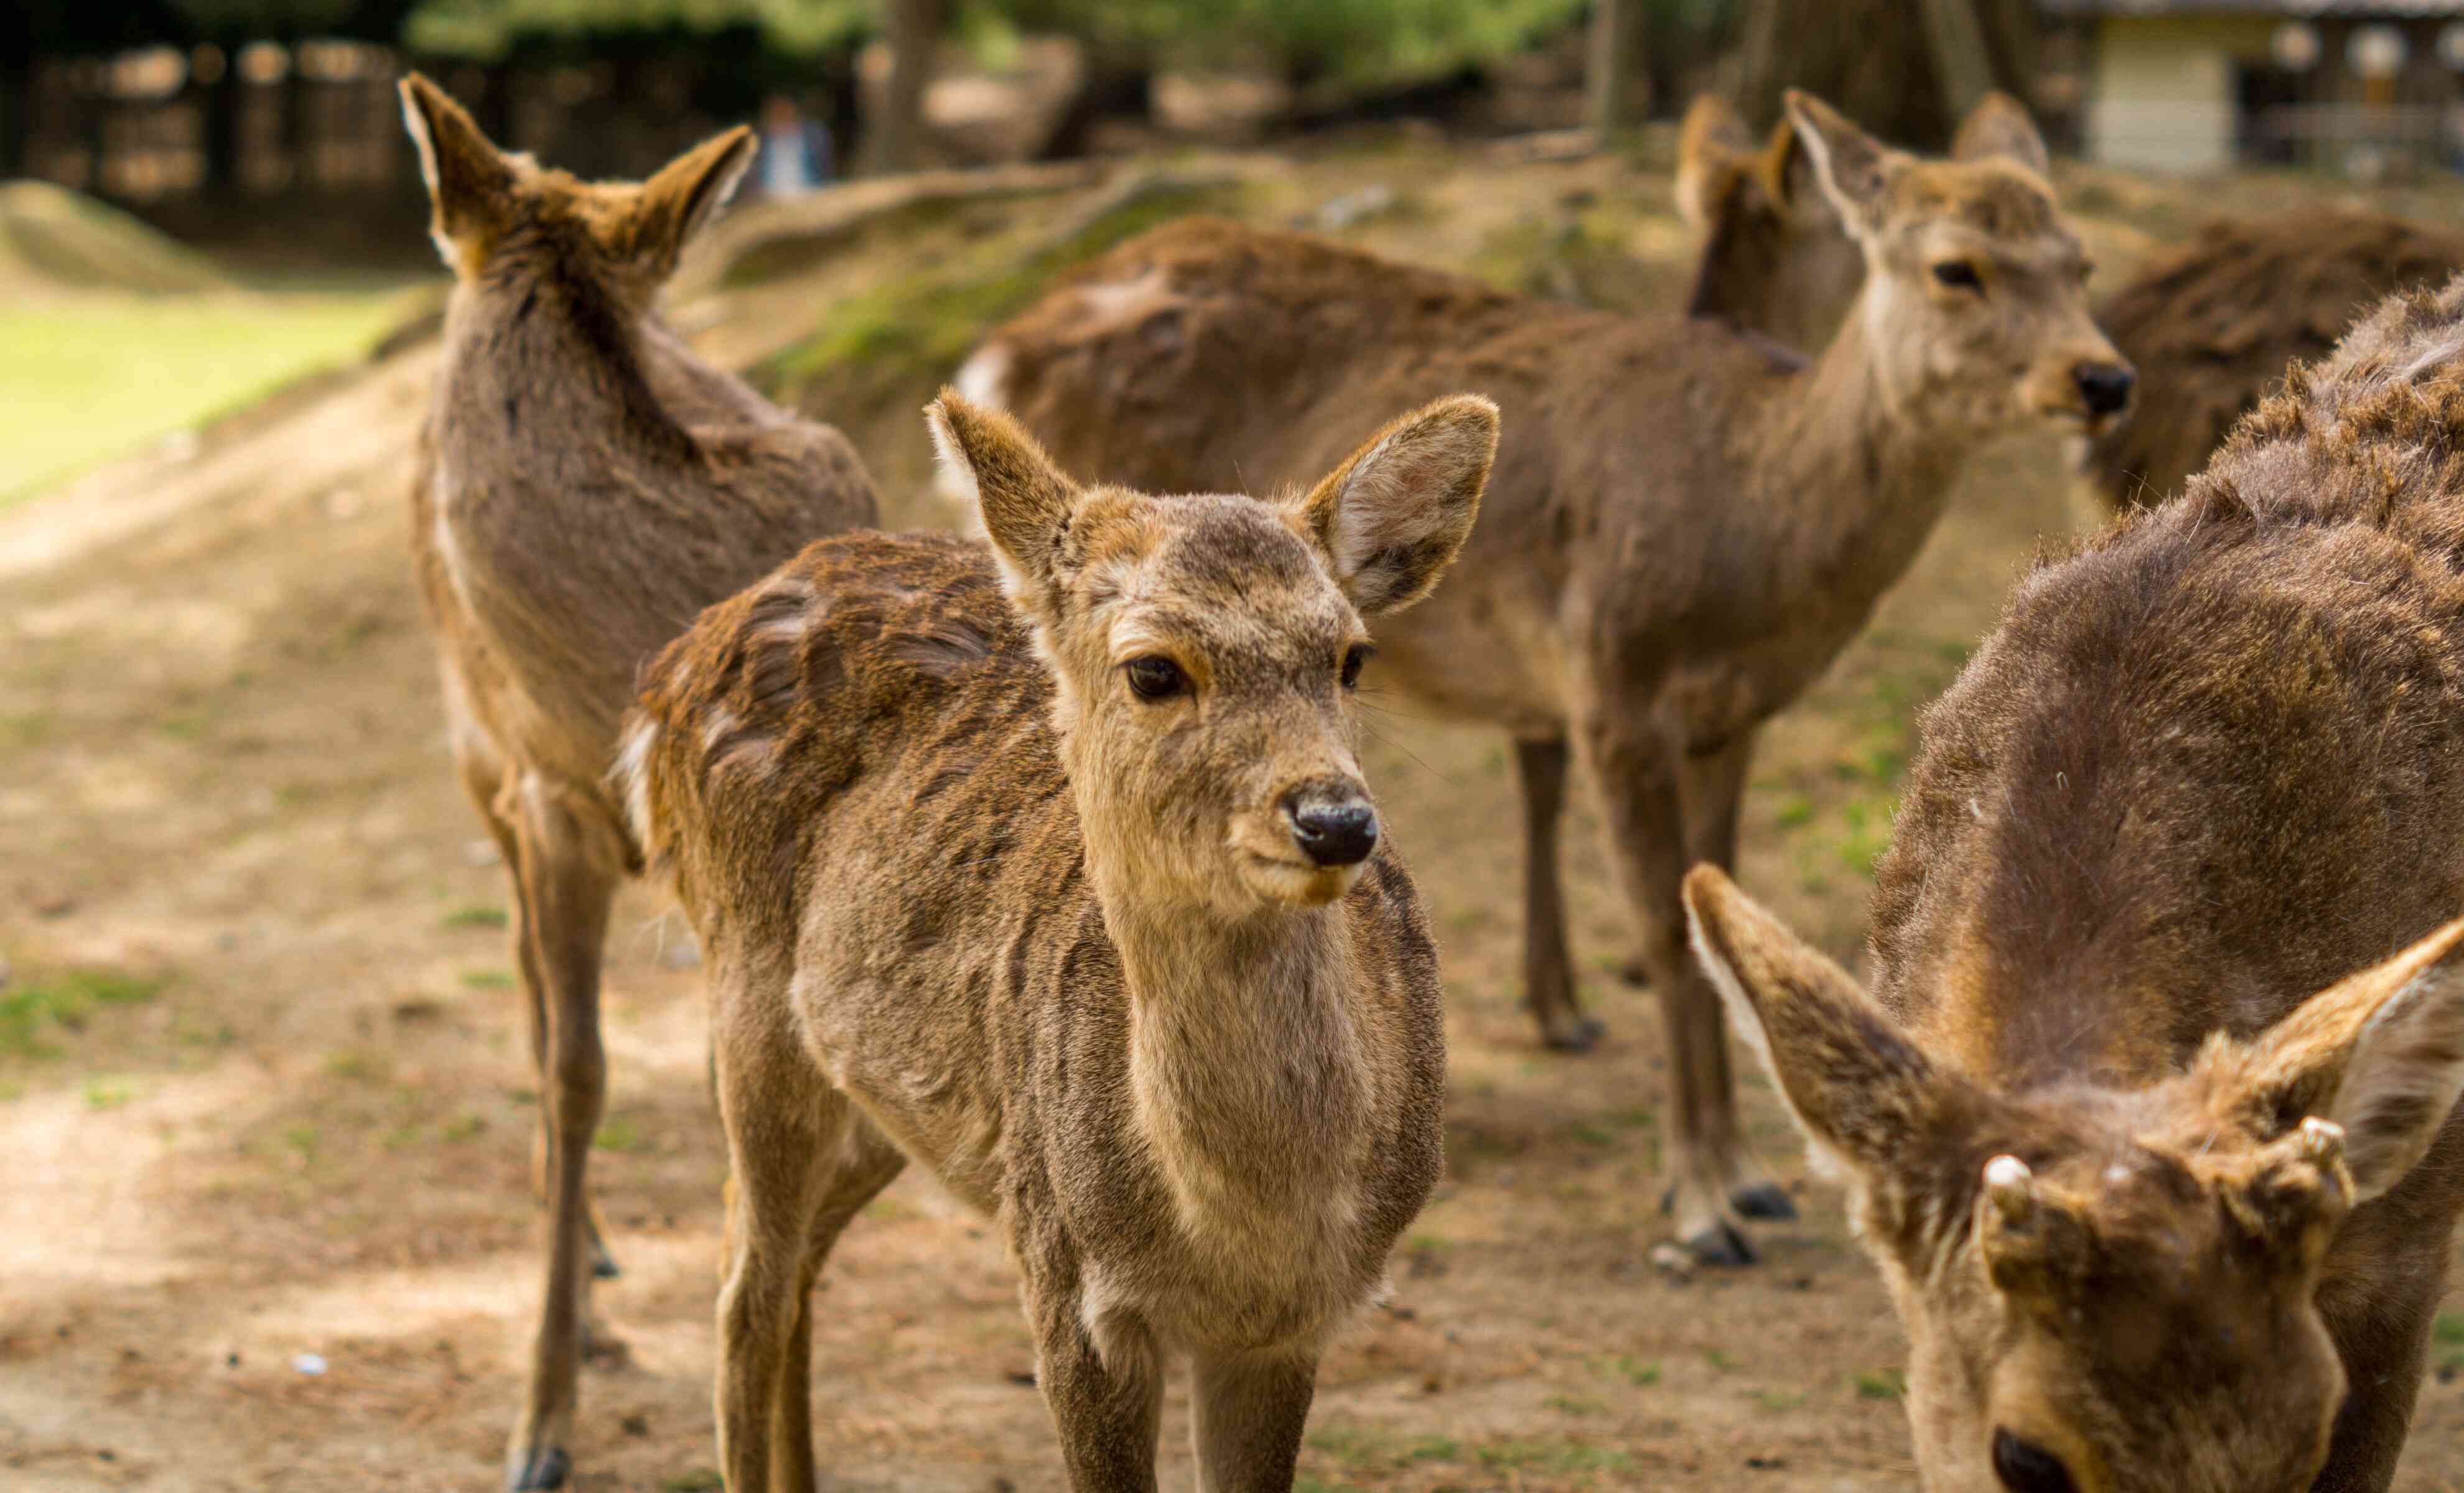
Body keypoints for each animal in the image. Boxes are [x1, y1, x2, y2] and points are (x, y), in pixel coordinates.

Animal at [391, 76, 877, 1488]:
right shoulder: (544, 801)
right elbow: (577, 1070)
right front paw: (539, 1423)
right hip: (478, 769)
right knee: (528, 995)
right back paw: (592, 1272)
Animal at [620, 389, 1498, 1493]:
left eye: (1351, 656)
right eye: (1153, 669)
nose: (1336, 820)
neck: (1245, 1235)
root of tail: (675, 667)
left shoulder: (1291, 1325)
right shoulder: (1067, 1284)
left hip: (885, 1102)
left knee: (790, 1260)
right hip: (745, 994)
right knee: (746, 1291)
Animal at [951, 90, 2129, 1261]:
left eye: (2080, 260)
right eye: (1956, 267)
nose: (2105, 378)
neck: (1759, 539)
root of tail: (996, 352)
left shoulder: (1734, 715)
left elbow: (1709, 902)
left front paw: (1740, 1171)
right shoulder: (1612, 678)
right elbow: (1660, 928)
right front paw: (1704, 1203)